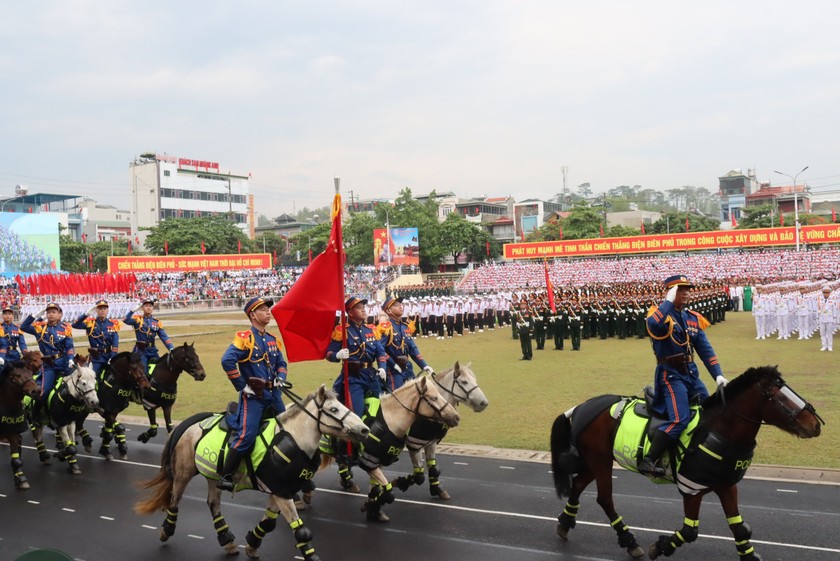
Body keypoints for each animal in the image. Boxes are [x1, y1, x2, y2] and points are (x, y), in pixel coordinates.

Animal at [0, 358, 41, 486]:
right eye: (17, 375)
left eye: (31, 374)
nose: (37, 391)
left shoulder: (13, 432)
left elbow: (16, 459)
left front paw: (21, 479)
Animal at [136, 382, 370, 560]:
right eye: (334, 410)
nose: (364, 430)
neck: (294, 438)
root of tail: (187, 424)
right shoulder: (282, 493)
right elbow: (301, 531)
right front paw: (310, 555)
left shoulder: (280, 490)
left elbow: (269, 522)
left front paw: (252, 544)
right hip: (183, 473)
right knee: (175, 500)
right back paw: (166, 531)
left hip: (213, 475)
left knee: (213, 504)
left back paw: (227, 541)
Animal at [324, 374, 466, 524]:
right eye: (433, 398)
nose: (456, 417)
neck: (391, 421)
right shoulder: (370, 461)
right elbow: (389, 493)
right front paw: (371, 506)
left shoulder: (379, 461)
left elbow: (378, 489)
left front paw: (374, 510)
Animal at [396, 364, 492, 498]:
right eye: (464, 381)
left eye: (475, 380)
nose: (484, 403)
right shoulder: (414, 444)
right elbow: (419, 476)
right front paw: (398, 483)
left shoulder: (431, 443)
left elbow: (433, 469)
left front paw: (437, 489)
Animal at [552, 366, 820, 556]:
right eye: (778, 396)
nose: (815, 424)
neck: (717, 430)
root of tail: (582, 406)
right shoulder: (692, 489)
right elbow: (690, 531)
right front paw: (661, 547)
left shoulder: (726, 486)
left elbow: (740, 527)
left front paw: (749, 555)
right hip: (600, 462)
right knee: (605, 499)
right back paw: (629, 541)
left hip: (596, 461)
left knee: (578, 485)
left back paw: (565, 523)